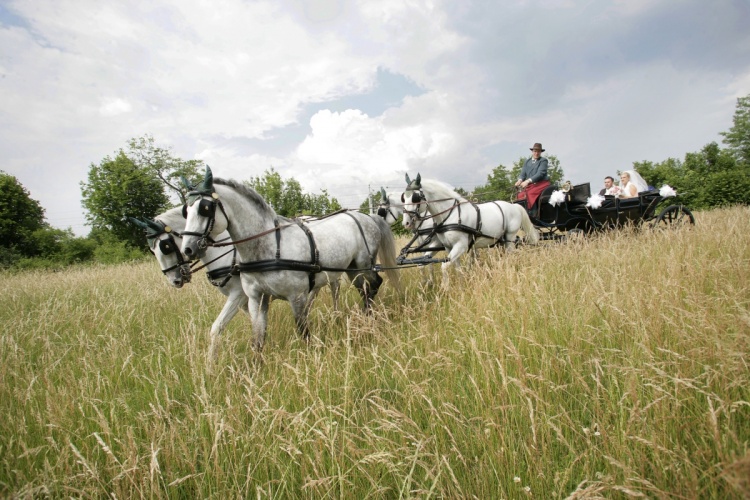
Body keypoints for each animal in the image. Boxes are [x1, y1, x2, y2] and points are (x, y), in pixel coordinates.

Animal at [180, 168, 402, 352]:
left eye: (205, 208)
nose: (187, 249)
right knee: (363, 289)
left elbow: (304, 333)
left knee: (375, 284)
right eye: (185, 211)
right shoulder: (256, 299)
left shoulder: (297, 297)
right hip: (351, 269)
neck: (269, 246)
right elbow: (257, 340)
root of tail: (368, 217)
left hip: (364, 264)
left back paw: (368, 317)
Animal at [406, 174, 540, 288]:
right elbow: (453, 267)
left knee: (510, 255)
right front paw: (459, 286)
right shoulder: (448, 247)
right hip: (501, 239)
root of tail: (514, 206)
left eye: (415, 197)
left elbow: (443, 265)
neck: (452, 214)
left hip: (510, 237)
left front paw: (444, 287)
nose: (407, 222)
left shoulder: (460, 246)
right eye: (404, 197)